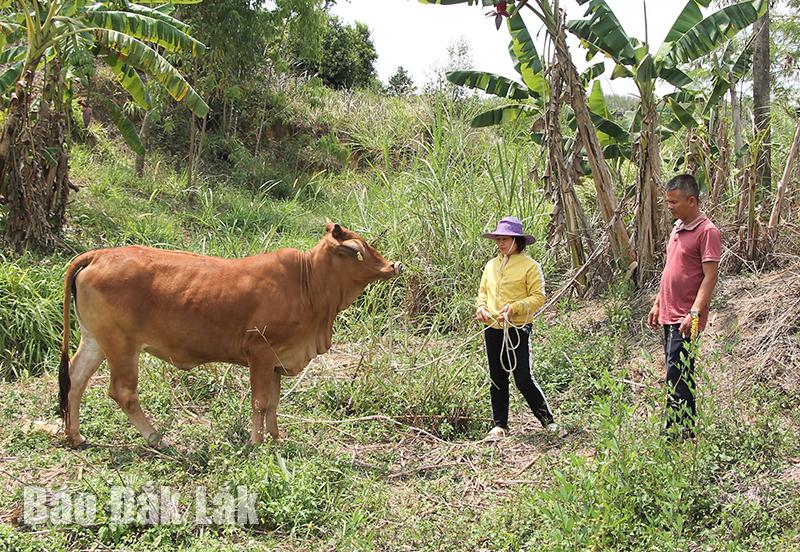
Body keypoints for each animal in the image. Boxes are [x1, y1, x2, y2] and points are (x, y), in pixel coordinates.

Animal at [59, 221, 404, 448]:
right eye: (357, 250)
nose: (394, 265)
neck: (308, 285)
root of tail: (99, 255)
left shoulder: (276, 361)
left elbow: (274, 403)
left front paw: (275, 439)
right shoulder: (259, 352)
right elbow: (260, 402)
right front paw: (255, 443)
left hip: (96, 339)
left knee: (75, 379)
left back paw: (76, 436)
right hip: (121, 345)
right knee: (123, 392)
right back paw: (158, 439)